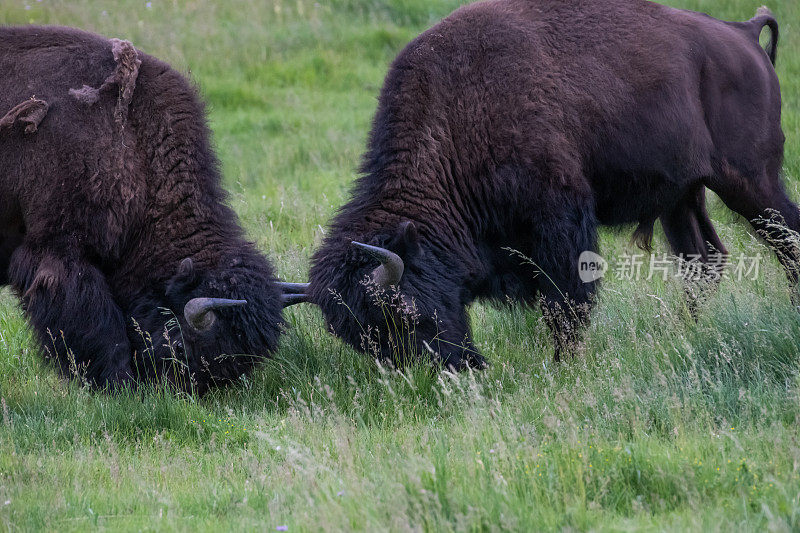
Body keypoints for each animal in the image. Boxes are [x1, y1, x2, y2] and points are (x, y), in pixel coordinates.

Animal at [0, 26, 304, 390]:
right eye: (182, 345)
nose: (183, 390)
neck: (132, 141)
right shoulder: (59, 253)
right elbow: (100, 329)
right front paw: (119, 385)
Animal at [304, 0, 796, 368]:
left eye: (402, 312)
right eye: (361, 337)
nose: (458, 368)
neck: (456, 116)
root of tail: (743, 34)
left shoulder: (560, 219)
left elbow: (567, 299)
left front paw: (563, 362)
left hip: (750, 182)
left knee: (785, 238)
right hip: (682, 197)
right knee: (704, 260)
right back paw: (685, 331)